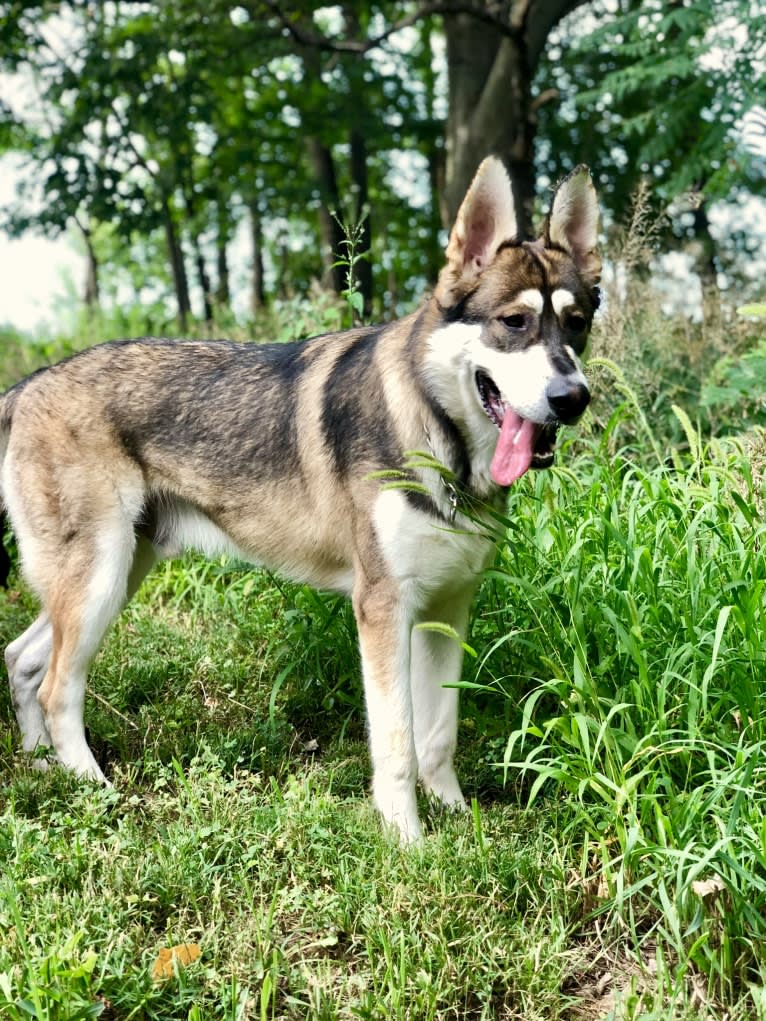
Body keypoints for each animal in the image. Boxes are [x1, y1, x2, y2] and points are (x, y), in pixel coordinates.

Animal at [0, 155, 604, 841]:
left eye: (576, 325)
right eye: (514, 323)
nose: (572, 399)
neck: (441, 441)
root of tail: (25, 387)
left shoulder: (447, 611)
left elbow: (438, 738)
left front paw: (456, 818)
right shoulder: (384, 612)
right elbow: (397, 743)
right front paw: (408, 840)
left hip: (114, 577)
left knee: (22, 660)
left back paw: (43, 770)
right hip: (99, 581)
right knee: (55, 689)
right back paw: (93, 791)